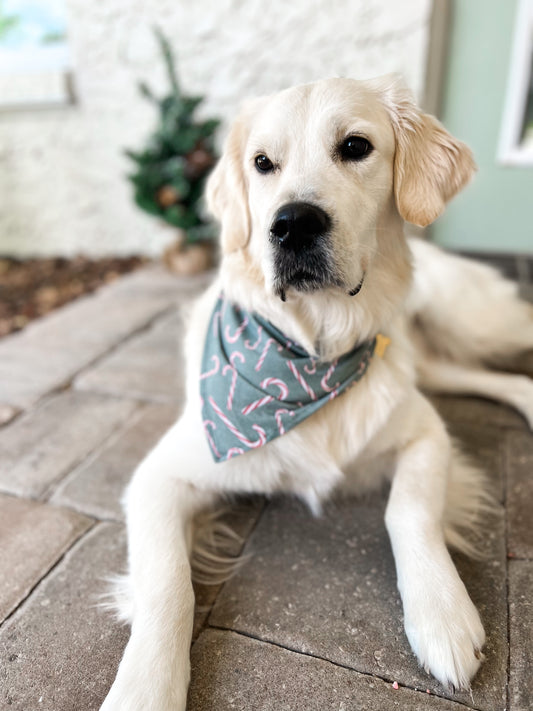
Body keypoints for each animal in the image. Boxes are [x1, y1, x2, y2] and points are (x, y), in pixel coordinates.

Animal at [101, 78, 532, 711]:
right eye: (262, 163)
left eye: (355, 146)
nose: (292, 224)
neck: (313, 353)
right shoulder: (160, 476)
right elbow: (166, 585)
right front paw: (143, 689)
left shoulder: (427, 434)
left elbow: (408, 510)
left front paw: (441, 613)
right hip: (435, 360)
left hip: (471, 322)